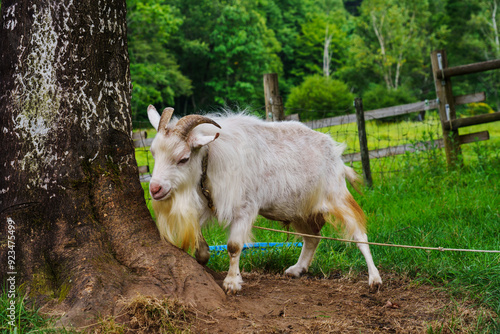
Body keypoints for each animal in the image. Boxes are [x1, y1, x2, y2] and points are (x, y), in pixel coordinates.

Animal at [146, 105, 380, 294]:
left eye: (183, 158)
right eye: (154, 154)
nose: (155, 189)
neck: (211, 158)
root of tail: (336, 153)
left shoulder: (245, 207)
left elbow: (234, 246)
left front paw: (232, 283)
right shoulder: (207, 202)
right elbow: (199, 239)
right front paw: (203, 259)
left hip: (336, 196)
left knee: (359, 234)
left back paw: (374, 279)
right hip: (300, 209)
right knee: (313, 238)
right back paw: (297, 269)